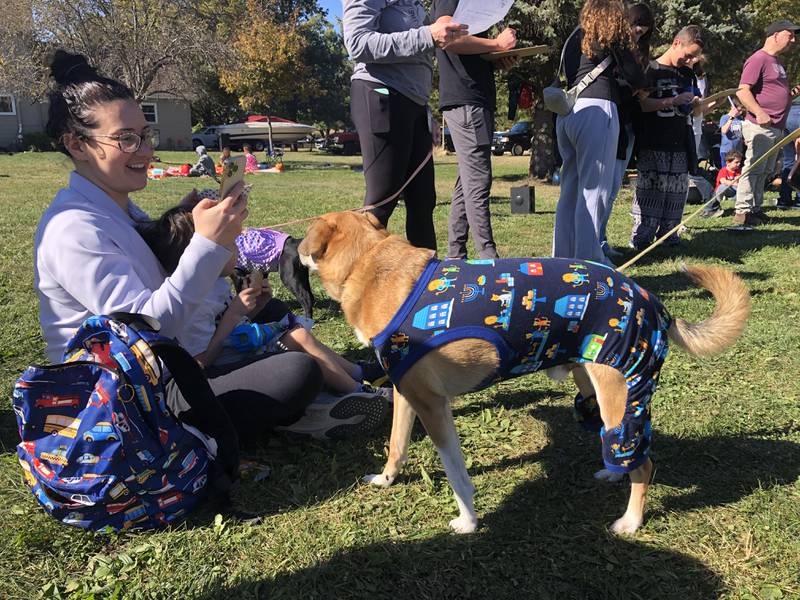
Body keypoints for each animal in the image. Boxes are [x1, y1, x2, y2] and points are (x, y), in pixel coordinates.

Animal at [298, 211, 752, 536]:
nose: (294, 248)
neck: (371, 265)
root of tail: (654, 303)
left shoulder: (434, 406)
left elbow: (456, 473)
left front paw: (468, 522)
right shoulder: (407, 394)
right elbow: (396, 445)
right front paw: (386, 479)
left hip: (621, 393)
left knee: (643, 464)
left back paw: (630, 522)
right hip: (591, 384)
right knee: (619, 446)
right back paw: (611, 470)